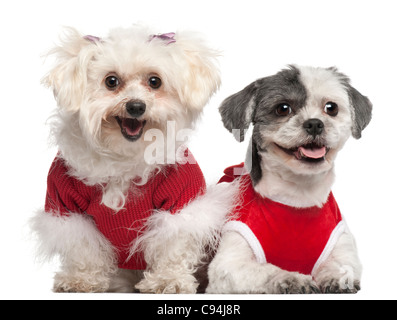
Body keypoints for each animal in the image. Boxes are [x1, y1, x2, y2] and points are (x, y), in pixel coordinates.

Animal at [31, 25, 223, 292]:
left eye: (155, 81)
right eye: (111, 81)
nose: (135, 106)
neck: (123, 156)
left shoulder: (181, 201)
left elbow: (173, 244)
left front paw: (168, 279)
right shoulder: (65, 205)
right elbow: (83, 249)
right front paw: (81, 279)